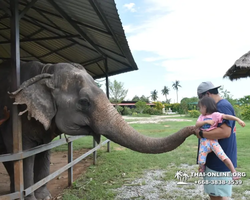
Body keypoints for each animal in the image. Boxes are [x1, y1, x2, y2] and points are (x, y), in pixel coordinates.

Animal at [0, 61, 199, 200]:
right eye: (84, 102)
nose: (196, 128)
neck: (46, 70)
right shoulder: (18, 117)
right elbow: (23, 155)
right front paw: (30, 197)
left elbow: (44, 153)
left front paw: (45, 197)